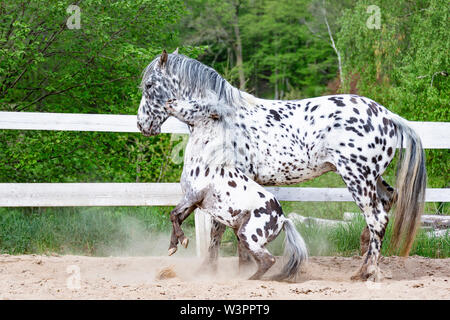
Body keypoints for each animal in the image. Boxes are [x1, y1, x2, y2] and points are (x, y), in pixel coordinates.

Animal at [137, 48, 426, 282]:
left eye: (150, 85)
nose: (142, 125)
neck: (223, 119)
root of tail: (388, 116)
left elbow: (219, 231)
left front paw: (218, 271)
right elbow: (227, 234)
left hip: (357, 178)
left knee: (376, 218)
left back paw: (368, 272)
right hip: (373, 178)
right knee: (387, 203)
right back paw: (365, 263)